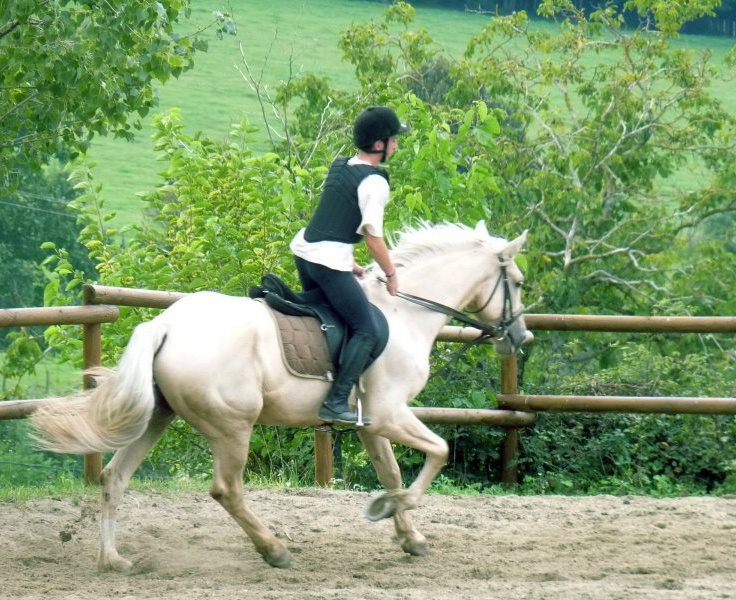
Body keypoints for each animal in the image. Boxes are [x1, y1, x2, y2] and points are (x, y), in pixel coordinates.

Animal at [30, 221, 536, 572]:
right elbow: (439, 452)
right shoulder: (389, 413)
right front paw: (391, 509)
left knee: (114, 478)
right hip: (232, 426)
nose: (521, 337)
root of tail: (165, 324)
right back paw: (274, 550)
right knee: (227, 489)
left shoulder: (371, 423)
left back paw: (112, 560)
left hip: (158, 417)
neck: (404, 312)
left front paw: (410, 537)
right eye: (517, 282)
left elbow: (392, 472)